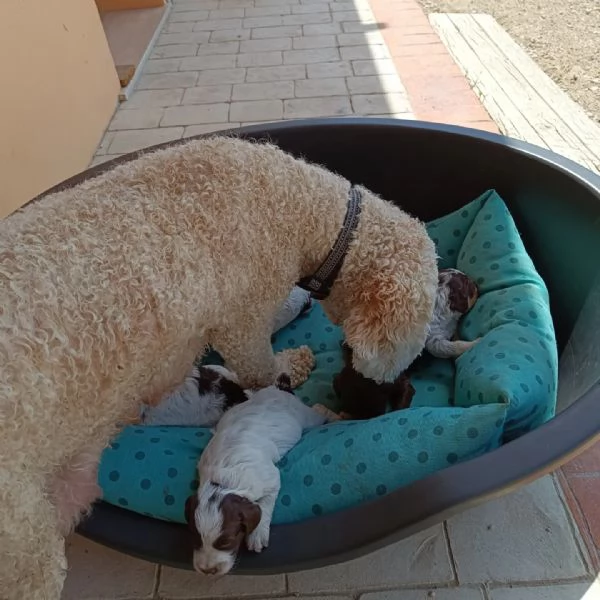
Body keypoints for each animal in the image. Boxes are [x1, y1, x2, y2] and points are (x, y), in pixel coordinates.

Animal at [186, 372, 330, 576]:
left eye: (227, 542)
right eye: (195, 538)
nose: (207, 571)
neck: (221, 483)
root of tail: (278, 388)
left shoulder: (270, 479)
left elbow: (265, 505)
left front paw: (257, 535)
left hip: (305, 416)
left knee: (318, 415)